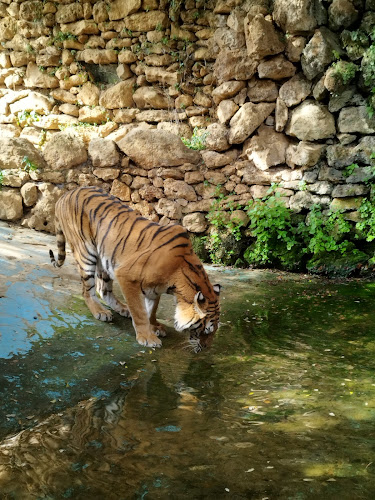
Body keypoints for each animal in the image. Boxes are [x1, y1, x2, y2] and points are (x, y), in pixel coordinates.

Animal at [49, 187, 220, 352]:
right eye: (206, 329)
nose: (206, 348)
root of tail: (64, 195)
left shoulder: (154, 289)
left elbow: (151, 310)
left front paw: (154, 326)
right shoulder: (126, 277)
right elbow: (139, 311)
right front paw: (148, 337)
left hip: (104, 258)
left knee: (103, 289)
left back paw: (122, 309)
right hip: (86, 253)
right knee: (87, 291)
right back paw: (100, 312)